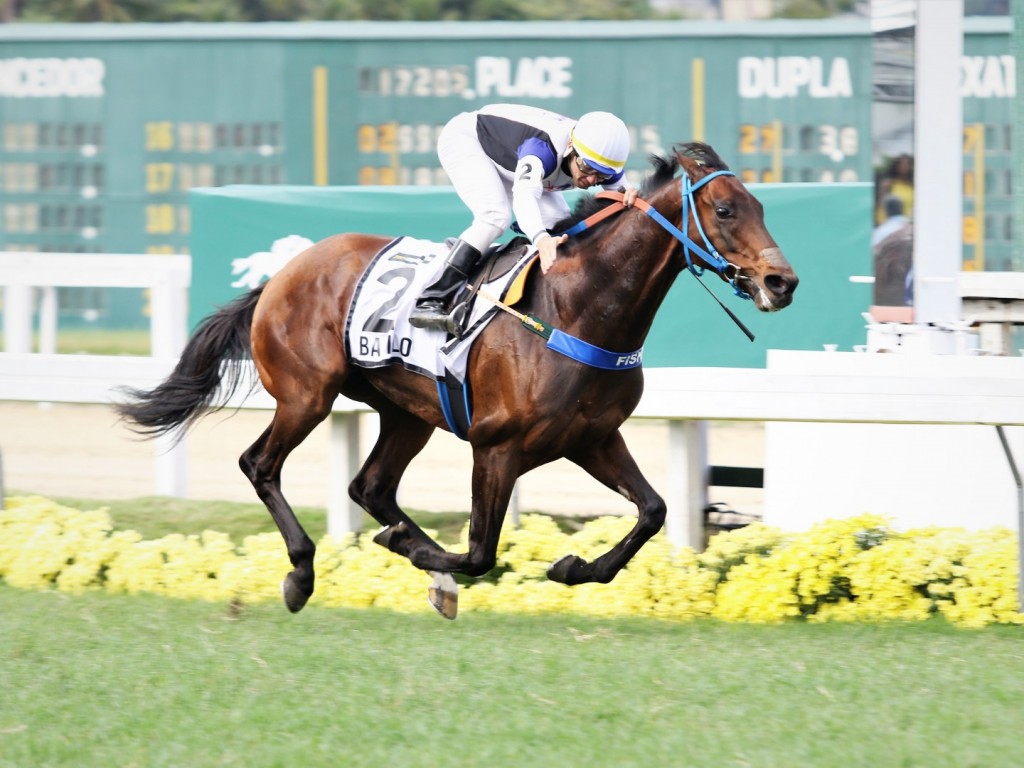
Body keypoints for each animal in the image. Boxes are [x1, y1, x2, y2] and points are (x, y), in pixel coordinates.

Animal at [114, 144, 798, 622]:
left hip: (406, 414)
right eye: (726, 209)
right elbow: (480, 553)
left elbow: (654, 511)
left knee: (370, 487)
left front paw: (572, 567)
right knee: (261, 465)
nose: (782, 282)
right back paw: (304, 574)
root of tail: (280, 275)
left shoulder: (592, 438)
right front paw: (427, 558)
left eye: (763, 208)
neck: (576, 307)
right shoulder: (496, 446)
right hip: (307, 395)